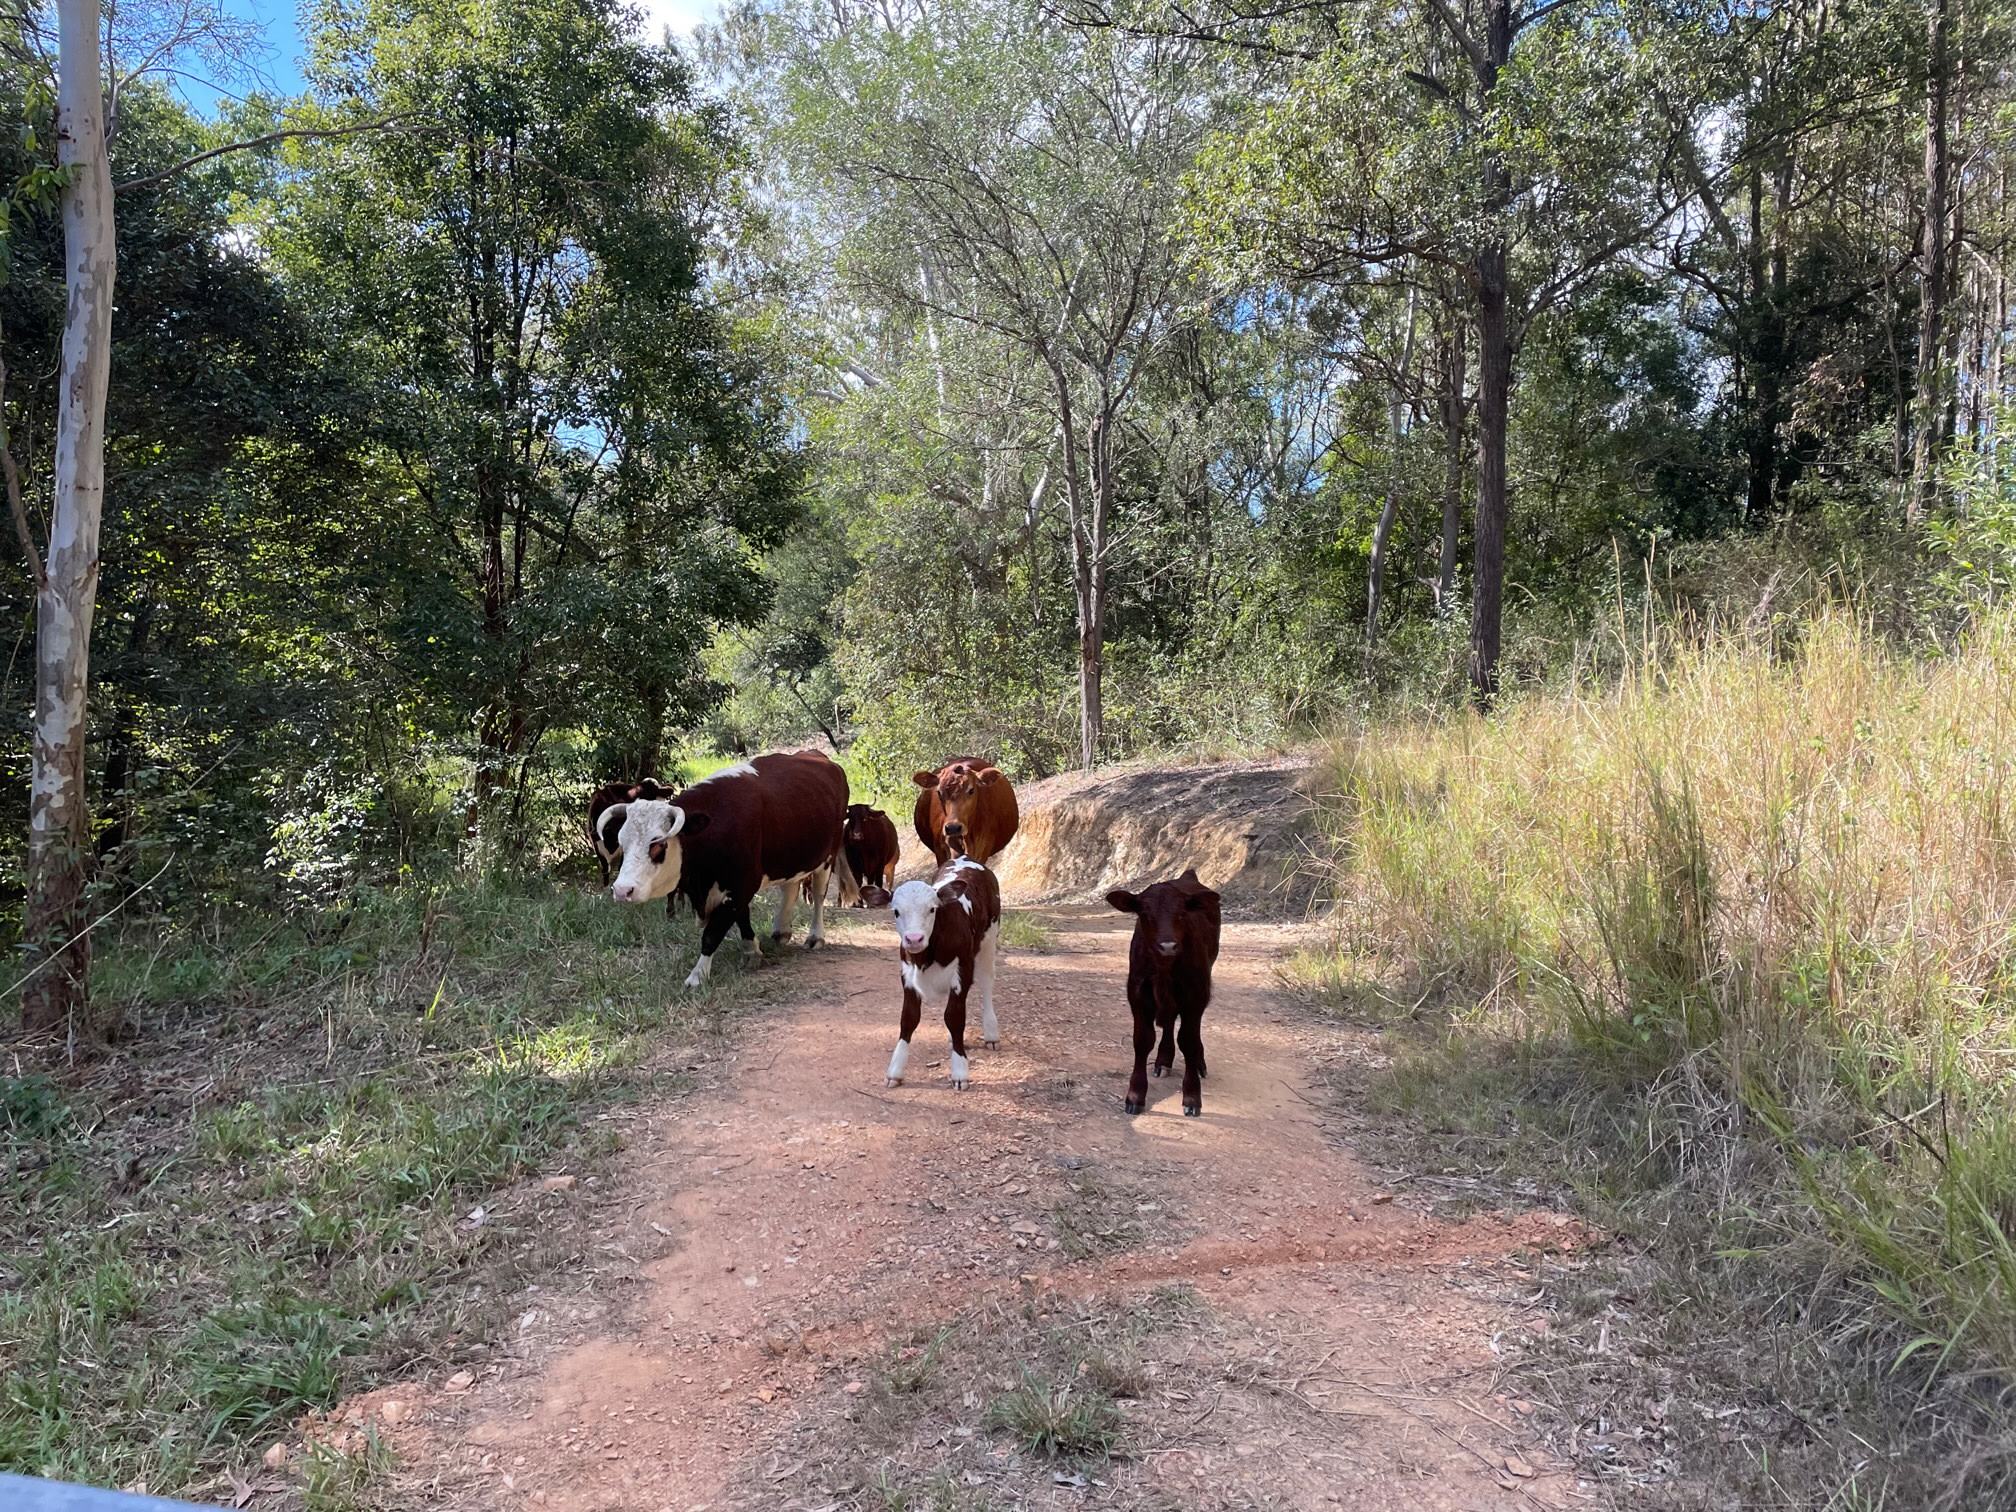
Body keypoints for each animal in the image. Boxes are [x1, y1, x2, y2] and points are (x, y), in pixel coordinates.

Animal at [604, 751, 853, 989]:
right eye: (622, 842)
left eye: (658, 844)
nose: (622, 890)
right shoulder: (734, 887)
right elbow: (742, 916)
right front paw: (751, 950)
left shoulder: (743, 884)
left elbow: (713, 933)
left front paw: (698, 975)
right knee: (790, 888)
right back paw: (781, 931)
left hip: (827, 857)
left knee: (819, 896)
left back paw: (816, 937)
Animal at [860, 856, 1001, 1091]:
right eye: (896, 911)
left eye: (932, 909)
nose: (914, 939)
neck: (925, 957)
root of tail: (965, 857)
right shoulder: (907, 974)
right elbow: (908, 1018)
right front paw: (895, 1071)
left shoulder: (962, 969)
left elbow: (955, 1017)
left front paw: (960, 1072)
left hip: (989, 939)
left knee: (987, 983)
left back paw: (991, 1033)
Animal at [1105, 869, 1221, 1117]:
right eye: (1144, 913)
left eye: (1182, 913)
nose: (1167, 946)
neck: (1164, 968)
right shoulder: (1138, 991)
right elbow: (1142, 1040)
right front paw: (1135, 1095)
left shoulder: (1196, 991)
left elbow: (1189, 1041)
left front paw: (1192, 1097)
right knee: (1168, 1022)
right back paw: (1164, 1059)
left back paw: (1198, 1063)